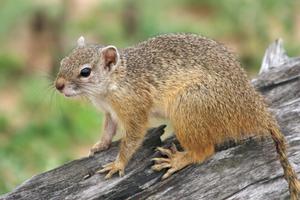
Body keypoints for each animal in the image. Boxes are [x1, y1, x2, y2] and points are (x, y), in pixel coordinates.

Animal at [55, 32, 298, 198]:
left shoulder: (134, 108)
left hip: (188, 107)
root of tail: (253, 110)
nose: (58, 85)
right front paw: (100, 146)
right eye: (63, 61)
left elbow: (132, 138)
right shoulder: (110, 112)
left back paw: (177, 160)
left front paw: (118, 164)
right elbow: (108, 130)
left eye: (85, 72)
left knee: (204, 151)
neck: (116, 81)